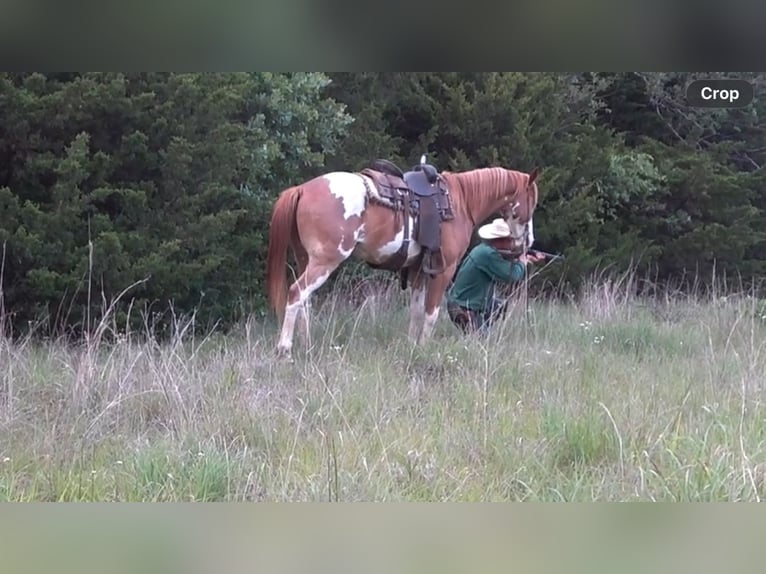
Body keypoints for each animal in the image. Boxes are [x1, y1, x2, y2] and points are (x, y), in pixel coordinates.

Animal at [266, 165, 540, 357]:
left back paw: (307, 346)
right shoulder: (444, 270)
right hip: (325, 261)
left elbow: (416, 311)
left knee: (305, 301)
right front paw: (425, 348)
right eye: (533, 202)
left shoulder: (418, 270)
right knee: (296, 293)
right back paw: (285, 350)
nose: (529, 241)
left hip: (306, 259)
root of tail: (302, 189)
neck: (460, 202)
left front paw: (412, 347)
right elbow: (430, 313)